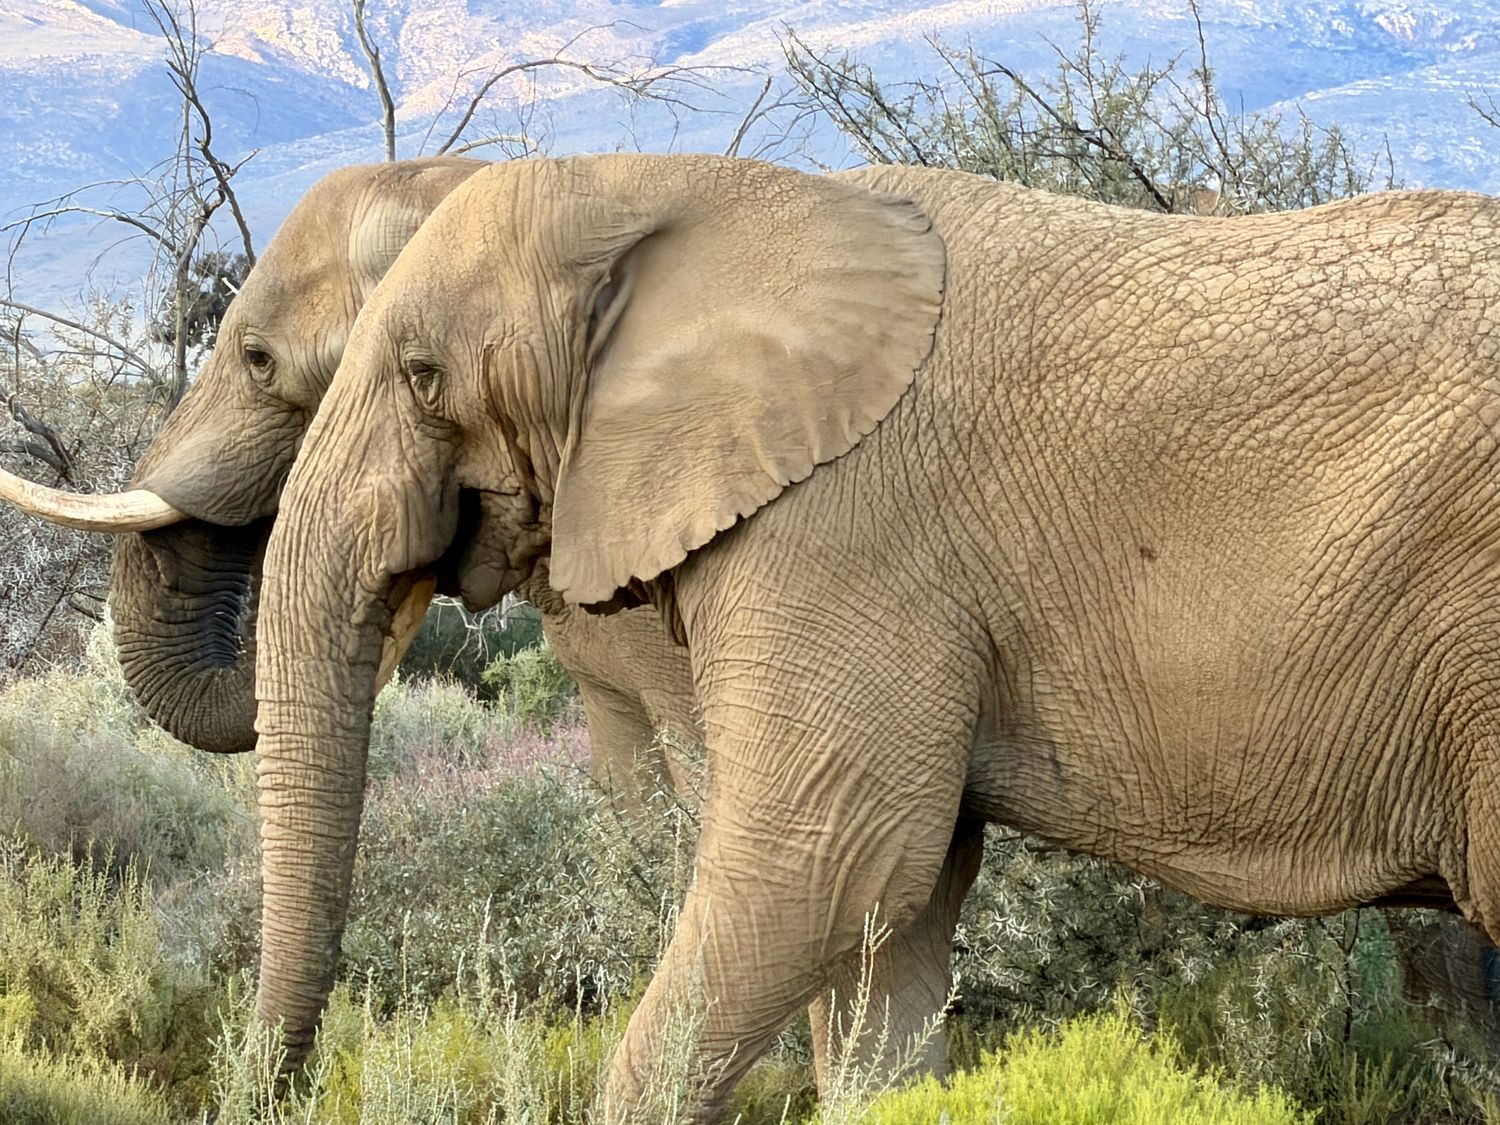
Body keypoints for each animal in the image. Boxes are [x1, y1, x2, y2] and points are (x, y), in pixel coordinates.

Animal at [246, 151, 1500, 1120]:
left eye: (423, 377)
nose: (280, 1085)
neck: (682, 188)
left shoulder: (839, 533)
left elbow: (826, 869)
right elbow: (890, 928)